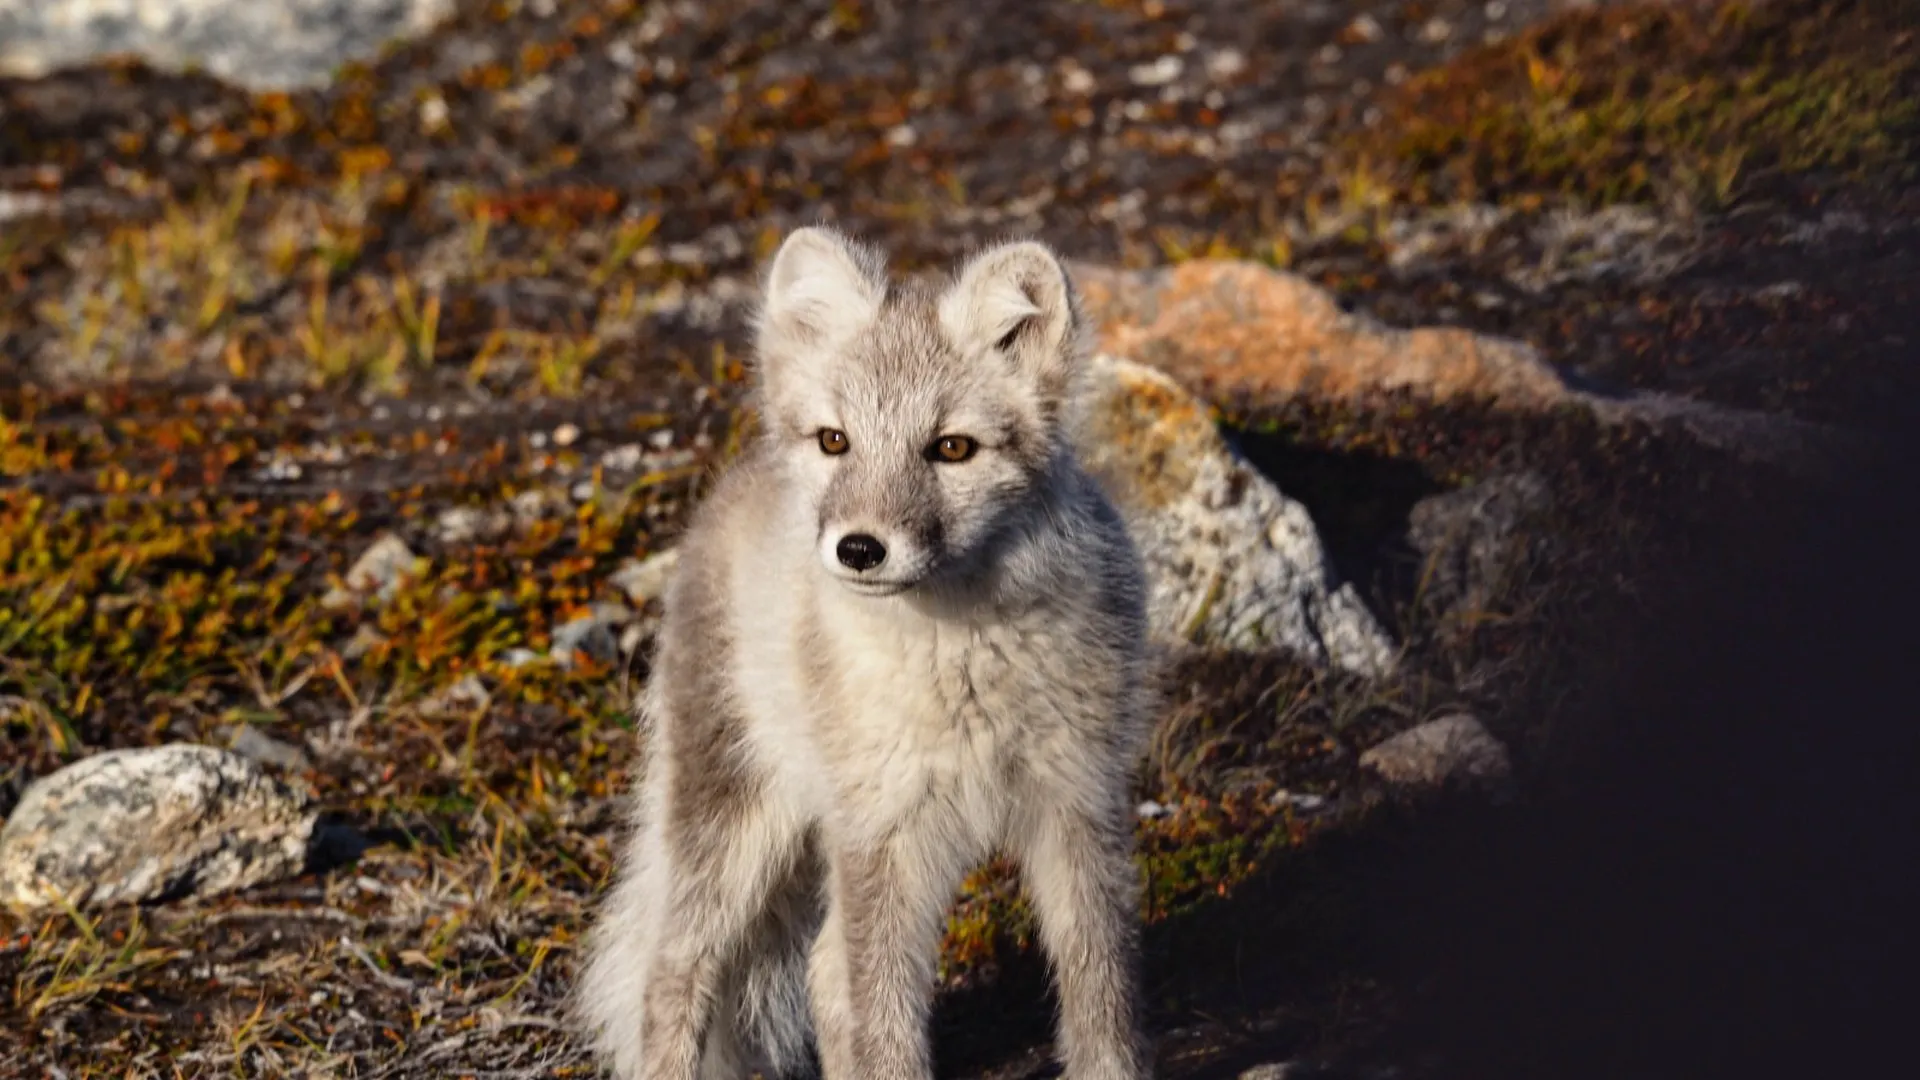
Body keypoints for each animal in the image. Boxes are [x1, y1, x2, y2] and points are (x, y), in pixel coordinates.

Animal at [574, 226, 1156, 1080]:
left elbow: (1101, 998)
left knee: (821, 972)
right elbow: (886, 1026)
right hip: (735, 828)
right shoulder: (884, 834)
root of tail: (731, 483)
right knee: (675, 973)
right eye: (835, 441)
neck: (964, 662)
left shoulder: (1077, 804)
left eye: (952, 447)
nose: (858, 548)